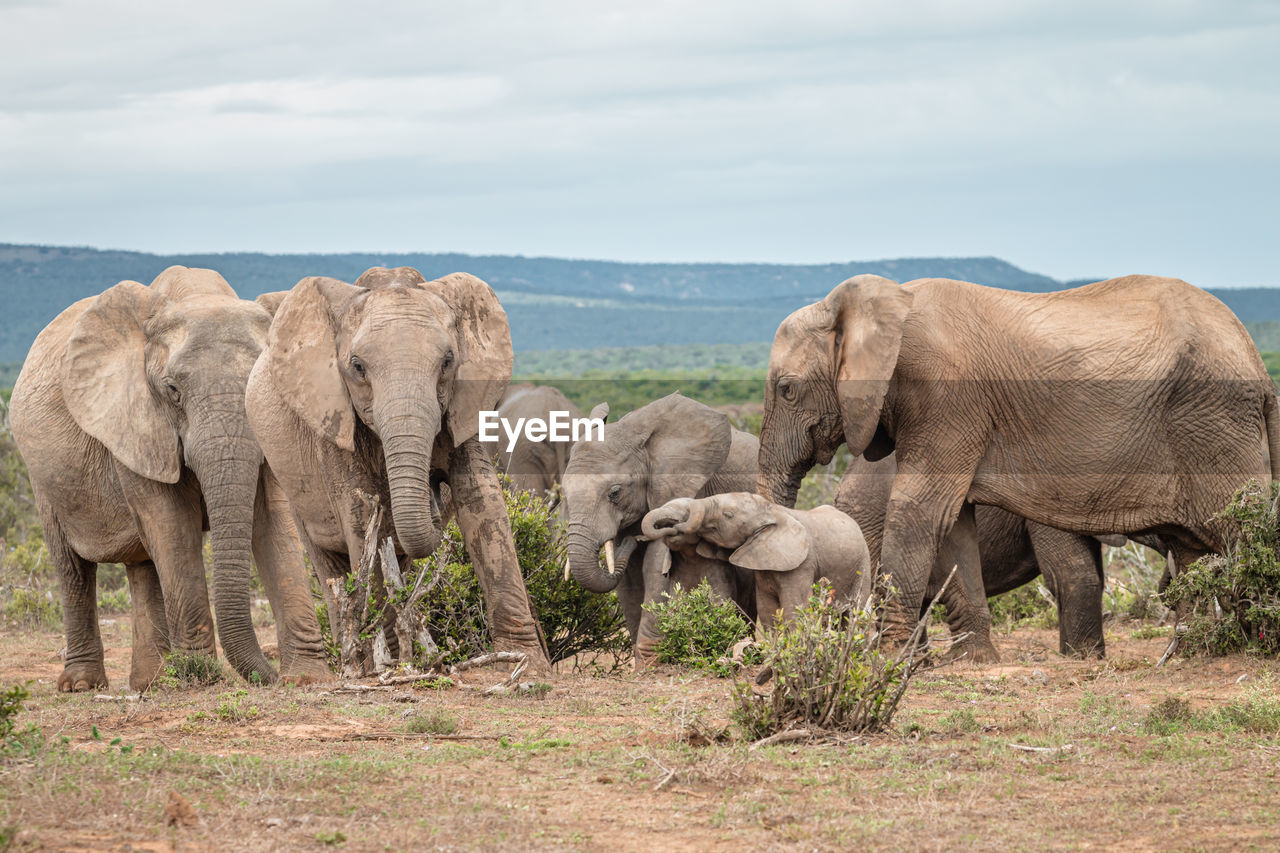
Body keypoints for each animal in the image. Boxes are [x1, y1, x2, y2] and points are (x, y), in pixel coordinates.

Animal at [8, 267, 330, 691]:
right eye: (173, 390)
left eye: (261, 383)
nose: (270, 676)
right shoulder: (135, 421)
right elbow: (172, 524)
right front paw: (202, 677)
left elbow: (274, 523)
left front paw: (306, 678)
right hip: (41, 476)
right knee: (74, 569)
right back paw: (83, 685)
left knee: (144, 564)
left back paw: (153, 682)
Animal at [244, 263, 550, 671]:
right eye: (357, 367)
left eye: (448, 361)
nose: (434, 492)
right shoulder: (331, 419)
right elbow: (362, 518)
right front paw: (391, 664)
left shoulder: (464, 407)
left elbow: (483, 504)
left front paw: (526, 662)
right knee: (329, 564)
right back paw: (358, 660)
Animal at [563, 391, 757, 655]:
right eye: (565, 492)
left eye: (614, 493)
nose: (632, 541)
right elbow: (629, 579)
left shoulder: (687, 487)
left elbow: (655, 560)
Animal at [757, 275, 1280, 640]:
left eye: (787, 390)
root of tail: (1256, 359)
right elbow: (951, 521)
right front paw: (975, 661)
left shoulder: (946, 397)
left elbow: (921, 509)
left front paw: (887, 655)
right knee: (1195, 549)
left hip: (1212, 420)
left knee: (1234, 534)